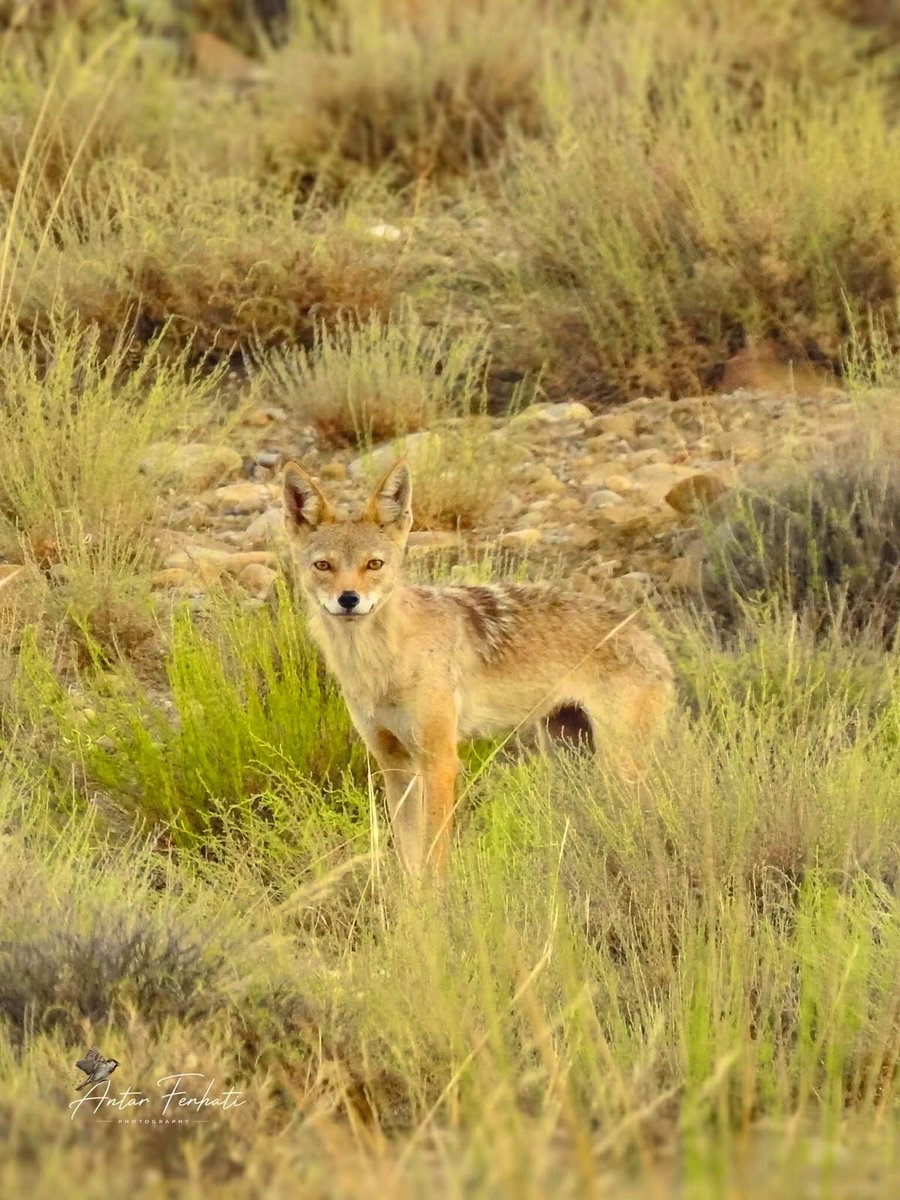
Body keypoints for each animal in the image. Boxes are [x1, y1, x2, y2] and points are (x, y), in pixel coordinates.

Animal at [280, 459, 674, 876]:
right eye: (323, 565)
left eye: (374, 564)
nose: (349, 599)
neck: (379, 664)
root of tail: (650, 640)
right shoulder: (394, 765)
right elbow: (409, 861)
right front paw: (409, 895)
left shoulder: (440, 762)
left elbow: (434, 858)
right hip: (569, 755)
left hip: (617, 765)